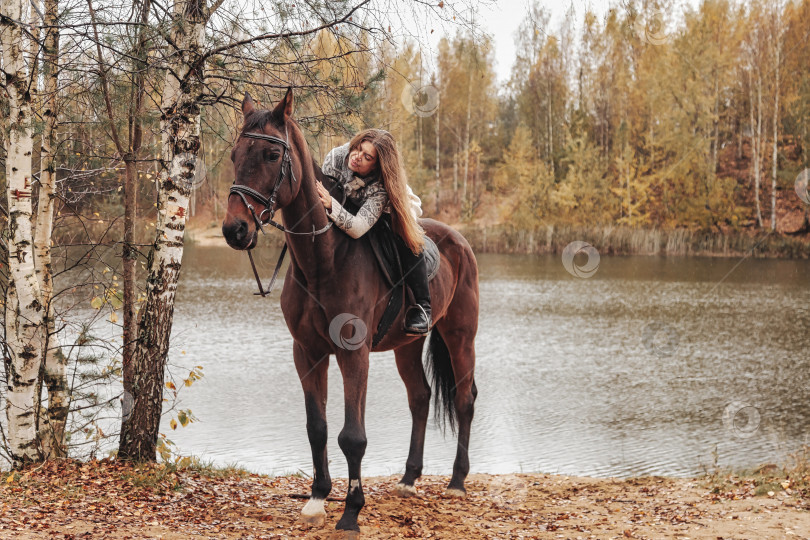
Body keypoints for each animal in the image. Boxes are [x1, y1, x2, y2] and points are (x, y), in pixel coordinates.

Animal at [221, 90, 476, 532]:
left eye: (272, 154)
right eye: (236, 153)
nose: (235, 230)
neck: (324, 259)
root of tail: (458, 240)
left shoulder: (353, 353)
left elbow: (352, 437)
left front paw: (351, 512)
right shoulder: (307, 352)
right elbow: (317, 428)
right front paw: (318, 498)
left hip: (460, 336)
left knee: (464, 400)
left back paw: (457, 482)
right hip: (408, 343)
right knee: (421, 398)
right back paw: (409, 479)